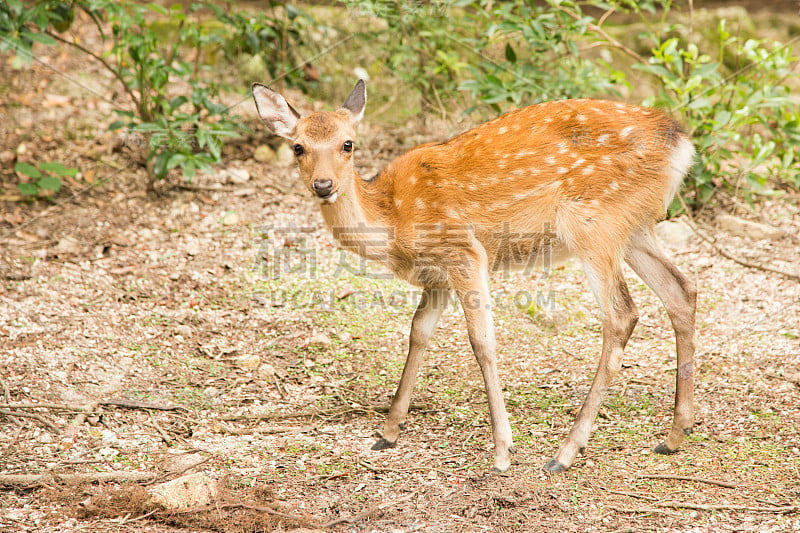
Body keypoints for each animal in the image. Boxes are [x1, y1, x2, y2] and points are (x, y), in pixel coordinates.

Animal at [253, 79, 696, 470]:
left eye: (348, 143)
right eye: (298, 147)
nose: (323, 184)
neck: (393, 219)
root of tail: (680, 140)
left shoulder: (464, 251)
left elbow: (482, 342)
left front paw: (503, 451)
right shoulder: (436, 276)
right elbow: (418, 332)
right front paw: (388, 432)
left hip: (593, 220)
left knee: (622, 314)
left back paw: (566, 453)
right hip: (634, 225)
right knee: (682, 289)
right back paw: (675, 434)